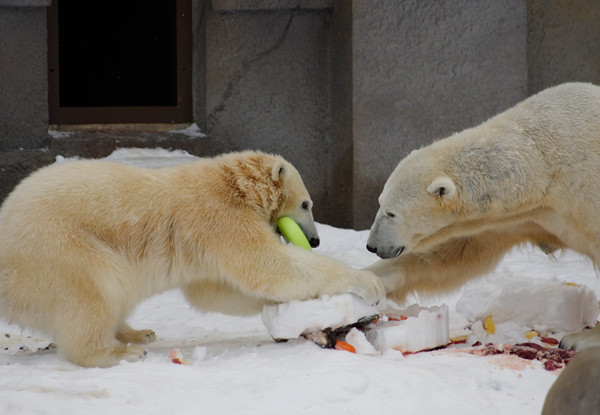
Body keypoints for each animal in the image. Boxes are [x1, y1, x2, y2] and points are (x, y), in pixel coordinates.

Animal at [0, 150, 384, 368]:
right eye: (306, 204)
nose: (316, 239)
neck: (234, 184)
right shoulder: (218, 216)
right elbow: (263, 264)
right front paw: (368, 283)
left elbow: (211, 290)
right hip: (59, 248)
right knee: (93, 291)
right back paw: (119, 352)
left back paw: (137, 333)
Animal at [364, 83, 600, 352]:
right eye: (380, 203)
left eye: (391, 212)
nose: (372, 246)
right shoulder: (520, 216)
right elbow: (456, 253)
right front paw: (367, 280)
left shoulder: (584, 189)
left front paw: (581, 339)